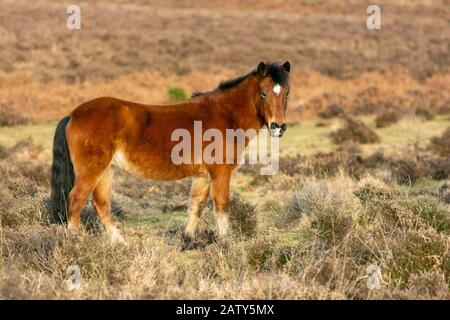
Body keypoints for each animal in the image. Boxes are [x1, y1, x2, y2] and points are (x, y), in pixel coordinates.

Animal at [51, 61, 290, 244]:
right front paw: (225, 243)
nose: (278, 126)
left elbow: (196, 206)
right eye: (263, 92)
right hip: (91, 172)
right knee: (75, 201)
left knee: (101, 205)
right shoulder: (220, 173)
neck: (224, 115)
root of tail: (73, 114)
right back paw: (76, 243)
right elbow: (222, 206)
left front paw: (187, 240)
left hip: (105, 171)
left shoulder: (203, 176)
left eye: (286, 93)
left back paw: (120, 243)